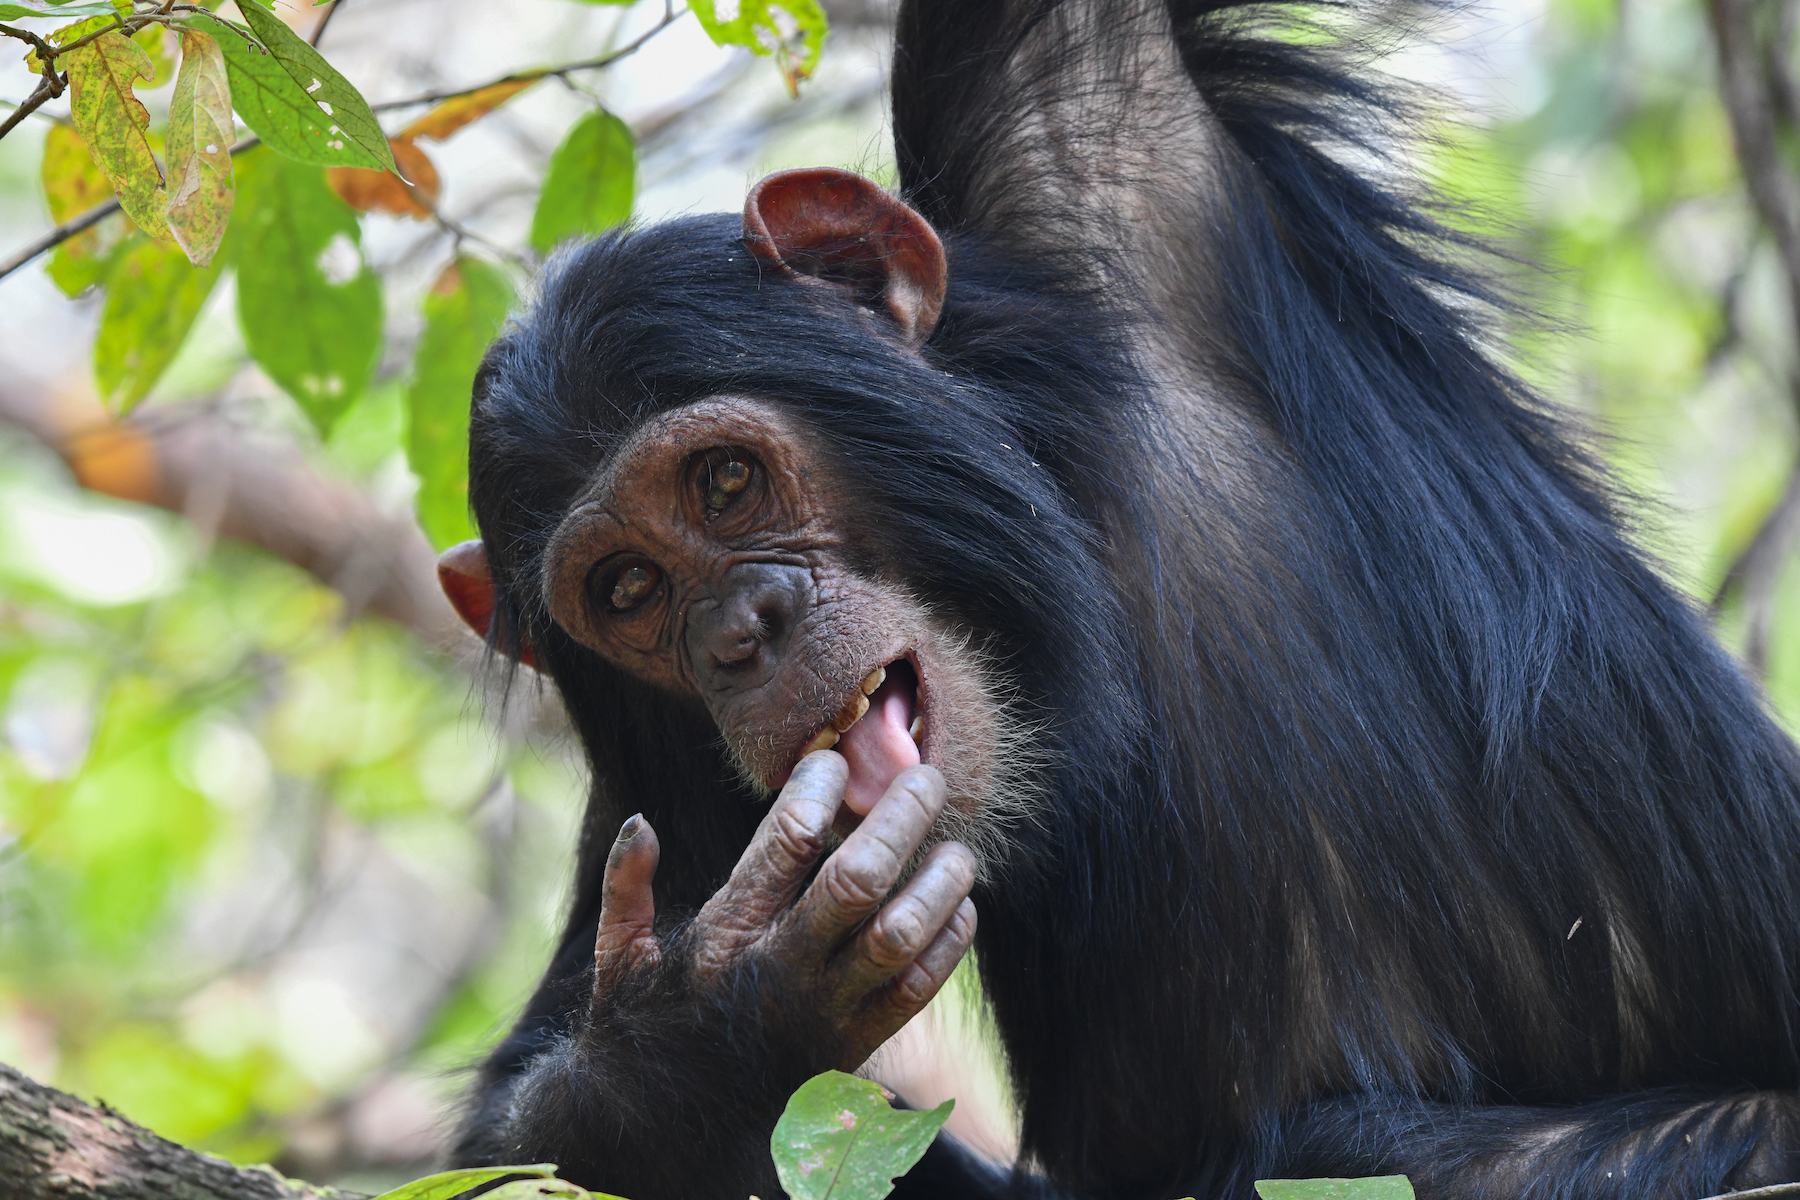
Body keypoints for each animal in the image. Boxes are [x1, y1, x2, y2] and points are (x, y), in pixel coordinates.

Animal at [434, 0, 1800, 1196]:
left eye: (723, 481)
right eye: (627, 587)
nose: (737, 635)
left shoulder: (1082, 153)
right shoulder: (662, 797)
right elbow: (511, 1150)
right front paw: (706, 1039)